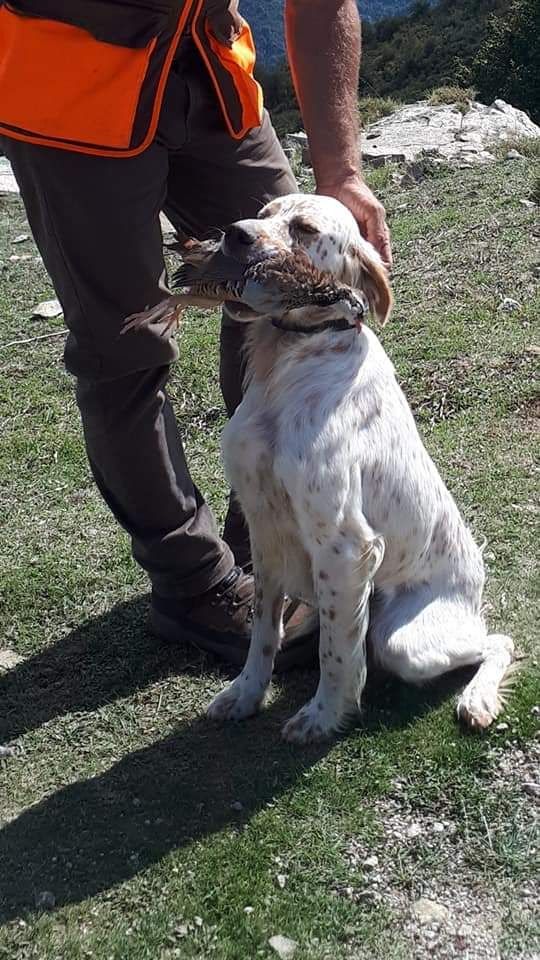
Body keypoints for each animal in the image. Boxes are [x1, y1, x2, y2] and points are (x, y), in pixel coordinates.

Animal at [206, 193, 516, 744]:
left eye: (305, 229)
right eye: (263, 213)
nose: (234, 234)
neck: (288, 361)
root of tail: (475, 580)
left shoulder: (346, 546)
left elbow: (339, 652)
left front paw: (325, 714)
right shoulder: (264, 528)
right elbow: (263, 630)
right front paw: (245, 693)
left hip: (405, 641)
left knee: (497, 639)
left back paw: (476, 699)